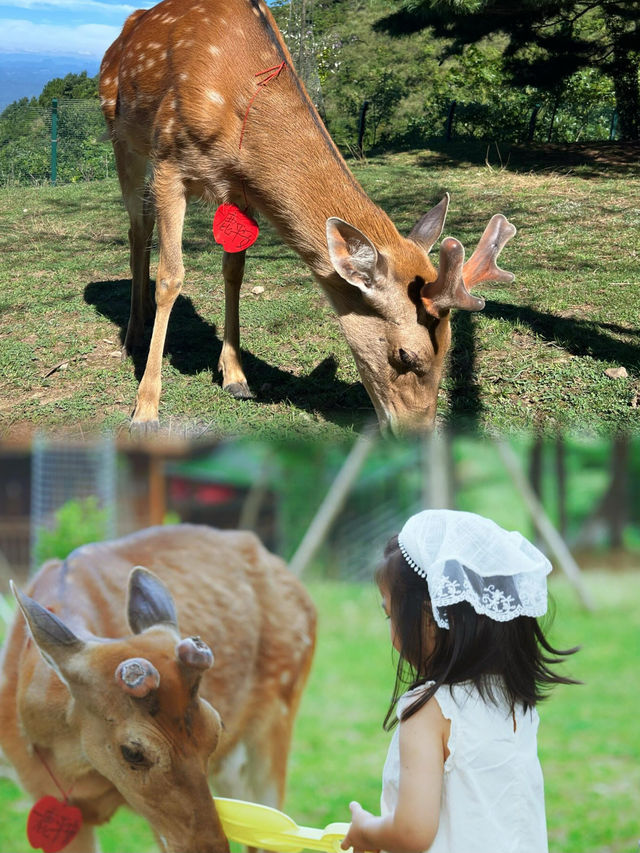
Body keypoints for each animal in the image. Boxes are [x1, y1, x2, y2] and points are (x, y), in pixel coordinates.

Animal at [100, 0, 516, 432]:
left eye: (450, 348)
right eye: (405, 355)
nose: (416, 435)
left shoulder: (241, 190)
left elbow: (234, 272)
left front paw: (236, 376)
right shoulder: (169, 160)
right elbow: (171, 278)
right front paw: (145, 409)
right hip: (124, 138)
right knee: (138, 228)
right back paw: (132, 335)